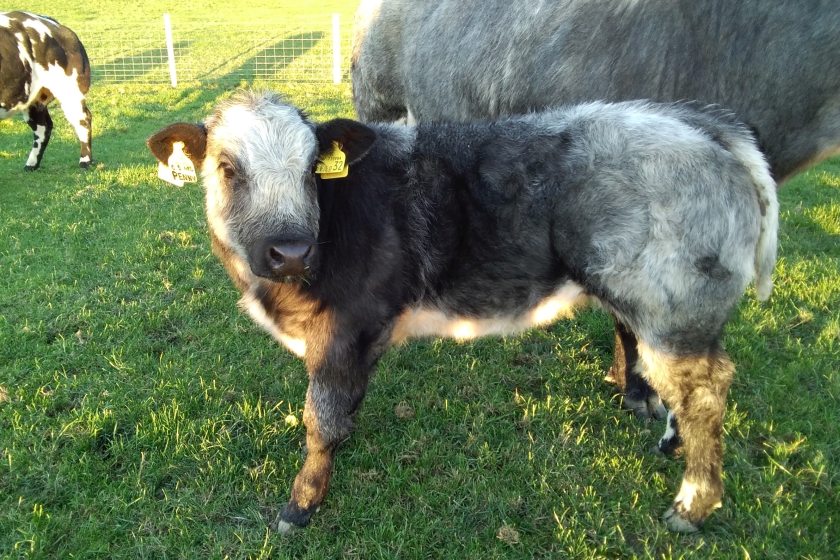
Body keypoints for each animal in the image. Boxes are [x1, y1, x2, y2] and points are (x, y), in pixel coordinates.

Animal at [0, 12, 93, 170]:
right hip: (34, 99)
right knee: (43, 127)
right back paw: (31, 164)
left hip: (70, 91)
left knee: (83, 119)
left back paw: (85, 161)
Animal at [146, 91, 780, 532]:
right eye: (228, 169)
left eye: (310, 172)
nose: (291, 251)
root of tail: (693, 122)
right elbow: (340, 412)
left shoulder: (345, 330)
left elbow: (319, 419)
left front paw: (301, 505)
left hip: (673, 310)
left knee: (705, 391)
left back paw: (692, 505)